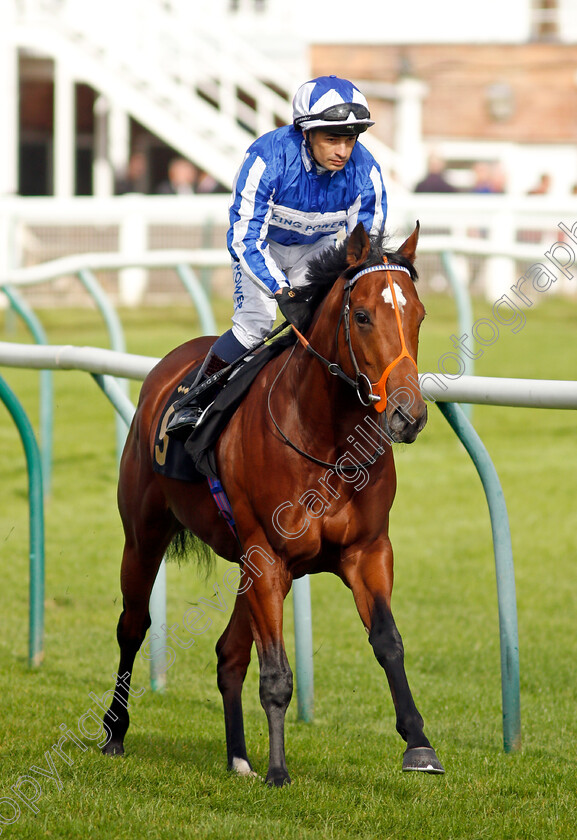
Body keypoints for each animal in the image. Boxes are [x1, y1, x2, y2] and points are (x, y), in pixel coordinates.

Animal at [101, 221, 444, 780]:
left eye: (418, 314)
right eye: (363, 316)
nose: (407, 414)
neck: (328, 444)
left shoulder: (367, 550)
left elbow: (388, 642)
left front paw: (418, 744)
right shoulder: (267, 556)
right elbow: (278, 672)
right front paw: (279, 770)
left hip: (245, 565)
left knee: (228, 654)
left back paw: (238, 755)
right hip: (145, 534)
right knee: (133, 626)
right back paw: (114, 732)